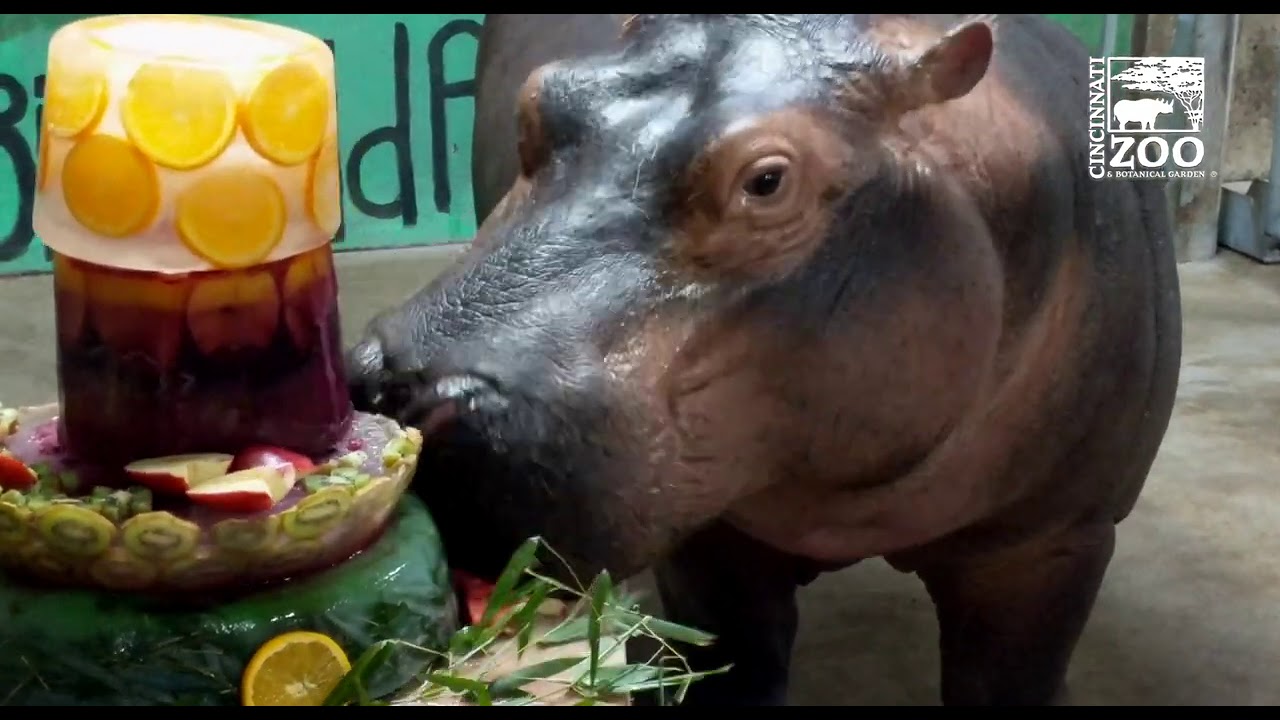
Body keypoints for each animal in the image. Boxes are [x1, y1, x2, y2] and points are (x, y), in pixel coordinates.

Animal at [347, 14, 1183, 706]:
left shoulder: (1051, 545)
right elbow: (737, 671)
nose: (403, 387)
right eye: (539, 99)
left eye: (767, 181)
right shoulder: (712, 545)